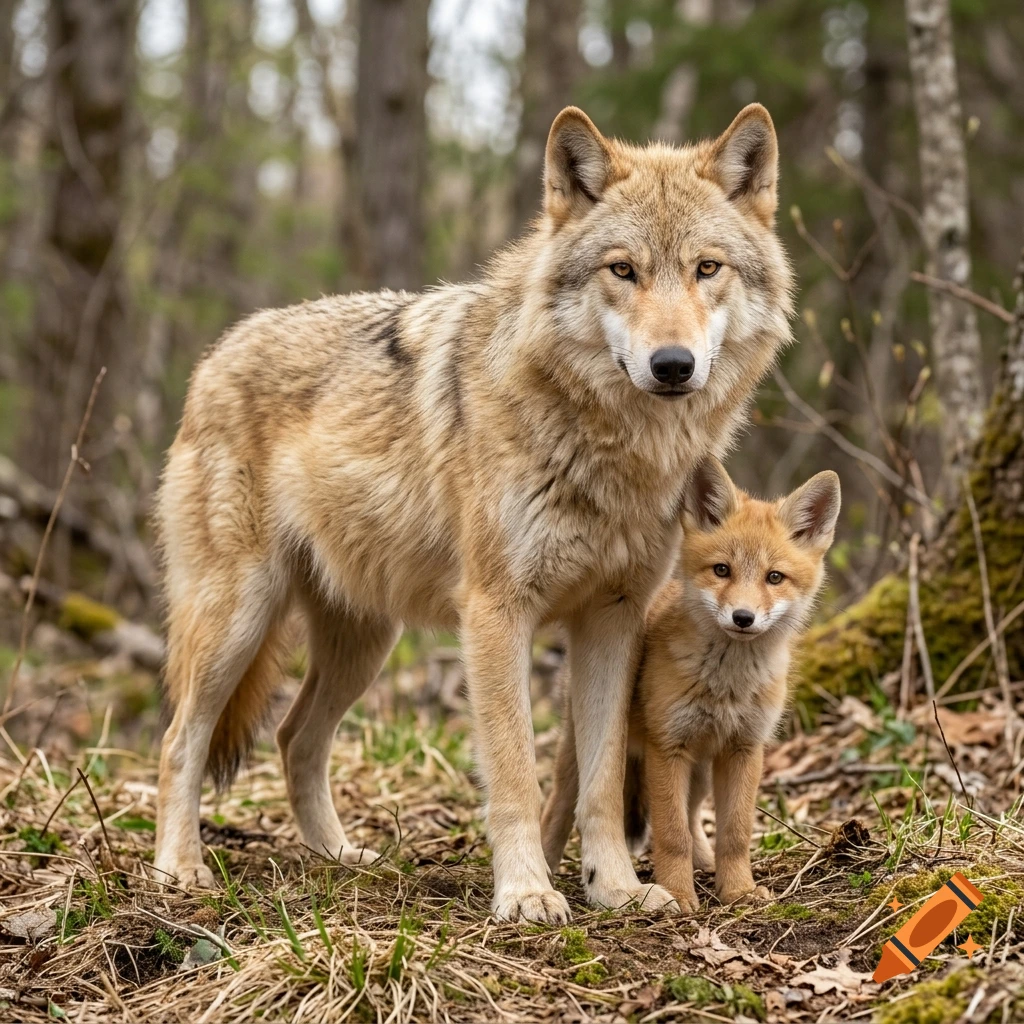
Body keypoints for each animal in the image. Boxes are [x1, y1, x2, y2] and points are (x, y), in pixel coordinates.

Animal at [152, 102, 795, 925]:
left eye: (706, 268)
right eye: (623, 270)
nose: (673, 365)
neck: (613, 451)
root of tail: (216, 352)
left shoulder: (614, 619)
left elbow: (598, 780)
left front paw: (616, 889)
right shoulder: (496, 612)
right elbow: (516, 773)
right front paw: (526, 893)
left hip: (366, 643)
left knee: (295, 737)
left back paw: (340, 858)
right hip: (237, 619)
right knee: (180, 739)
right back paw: (180, 870)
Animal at [542, 457, 841, 911]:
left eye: (774, 577)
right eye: (722, 570)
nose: (743, 618)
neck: (727, 686)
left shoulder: (744, 748)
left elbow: (734, 834)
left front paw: (737, 891)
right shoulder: (668, 747)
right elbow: (670, 835)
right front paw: (680, 895)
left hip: (700, 771)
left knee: (696, 817)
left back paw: (706, 863)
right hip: (586, 756)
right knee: (558, 809)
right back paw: (540, 870)